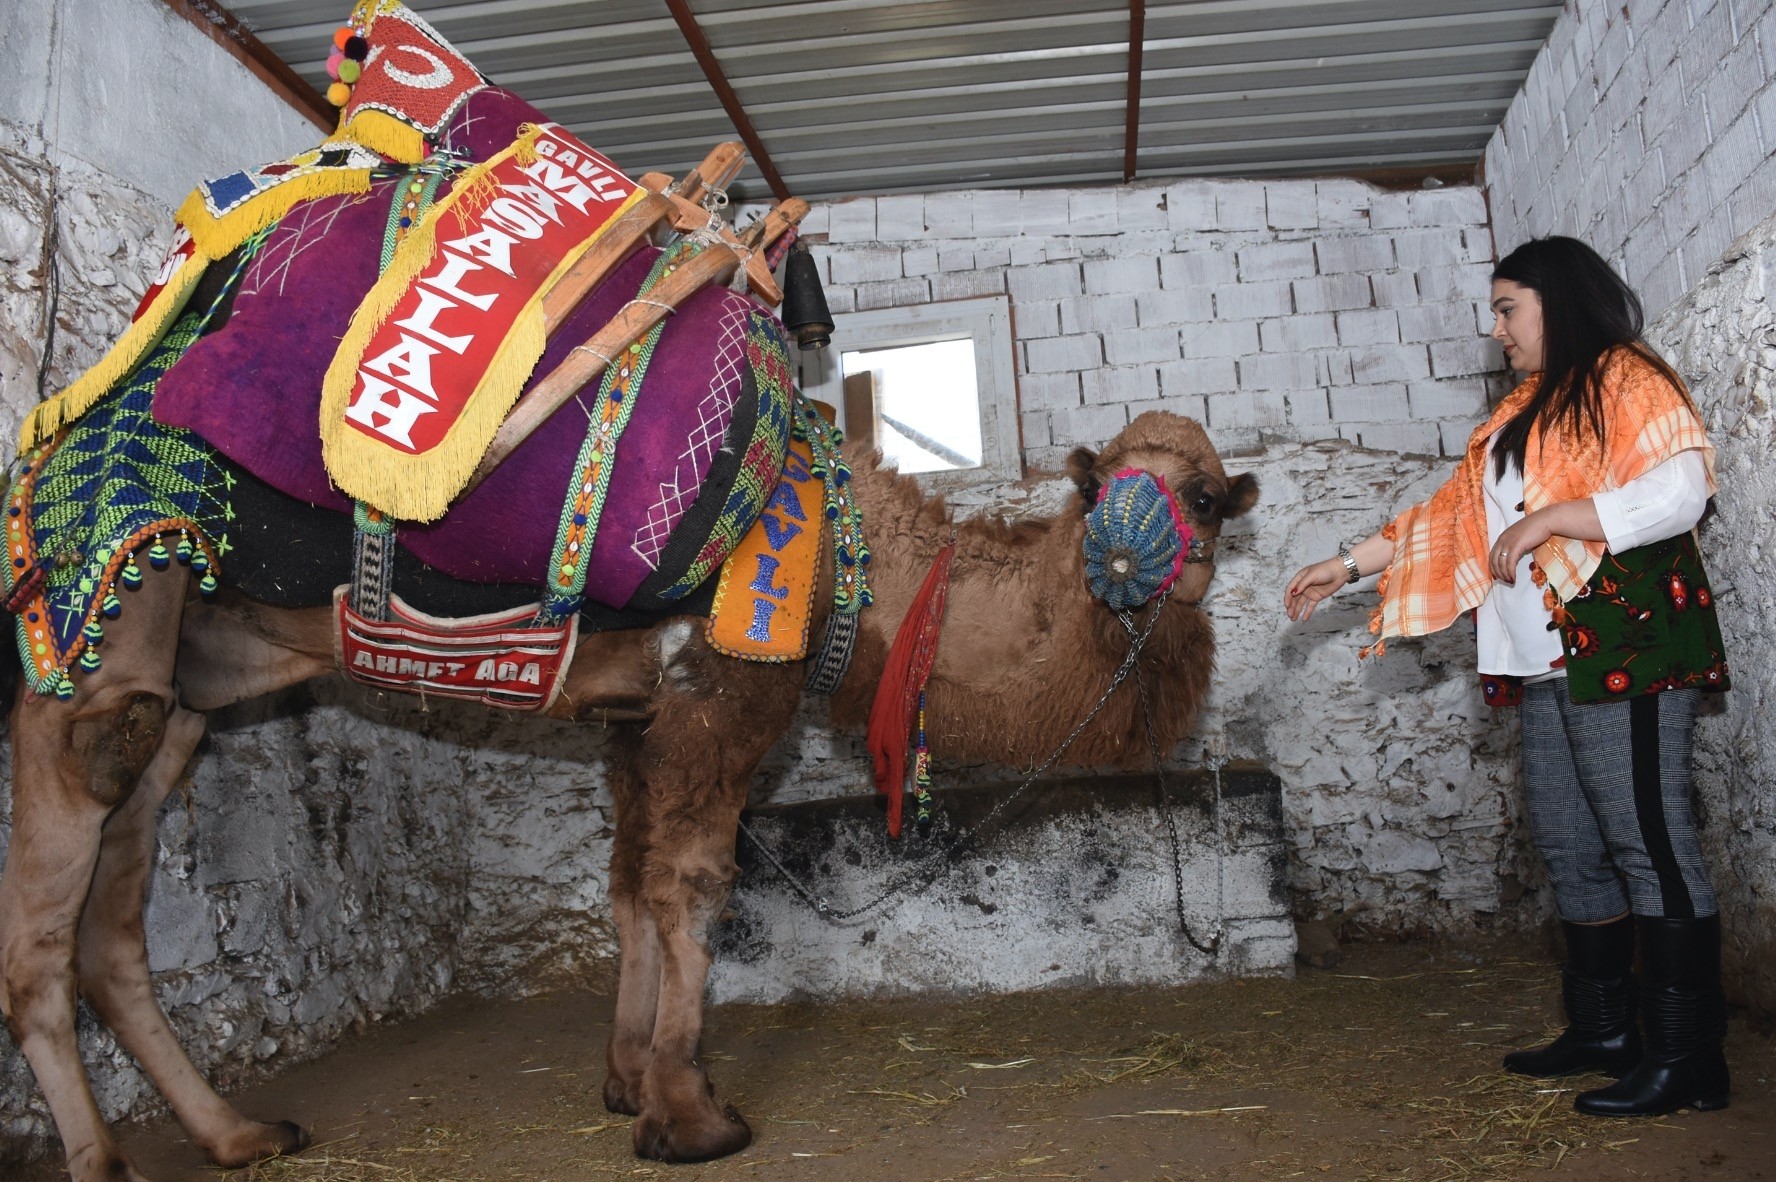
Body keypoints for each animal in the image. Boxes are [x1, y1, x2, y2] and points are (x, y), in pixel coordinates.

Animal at [0, 403, 1256, 1177]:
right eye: (1102, 487)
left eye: (1204, 496)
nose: (1126, 561)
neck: (872, 577)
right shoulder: (725, 685)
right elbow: (691, 886)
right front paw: (692, 1116)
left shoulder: (638, 717)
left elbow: (628, 886)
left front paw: (625, 1082)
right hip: (92, 650)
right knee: (41, 927)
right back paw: (101, 1161)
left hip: (193, 684)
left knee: (113, 923)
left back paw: (239, 1133)